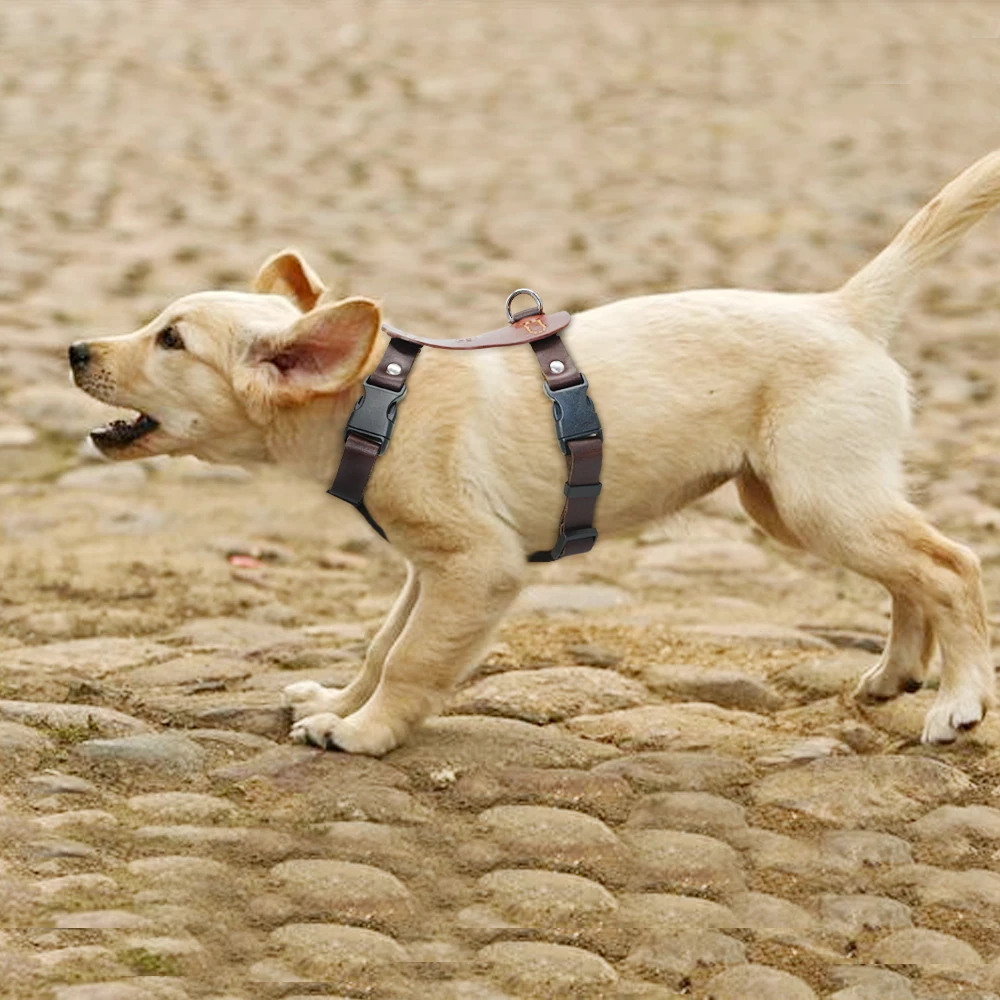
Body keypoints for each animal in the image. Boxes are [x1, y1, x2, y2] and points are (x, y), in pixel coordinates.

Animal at [72, 152, 1000, 752]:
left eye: (171, 340)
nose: (76, 350)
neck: (379, 399)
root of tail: (842, 308)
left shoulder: (477, 564)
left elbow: (411, 658)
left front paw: (361, 731)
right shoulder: (427, 566)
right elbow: (382, 643)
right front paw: (339, 697)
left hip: (817, 495)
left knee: (951, 566)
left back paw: (958, 702)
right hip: (790, 501)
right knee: (910, 573)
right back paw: (894, 675)